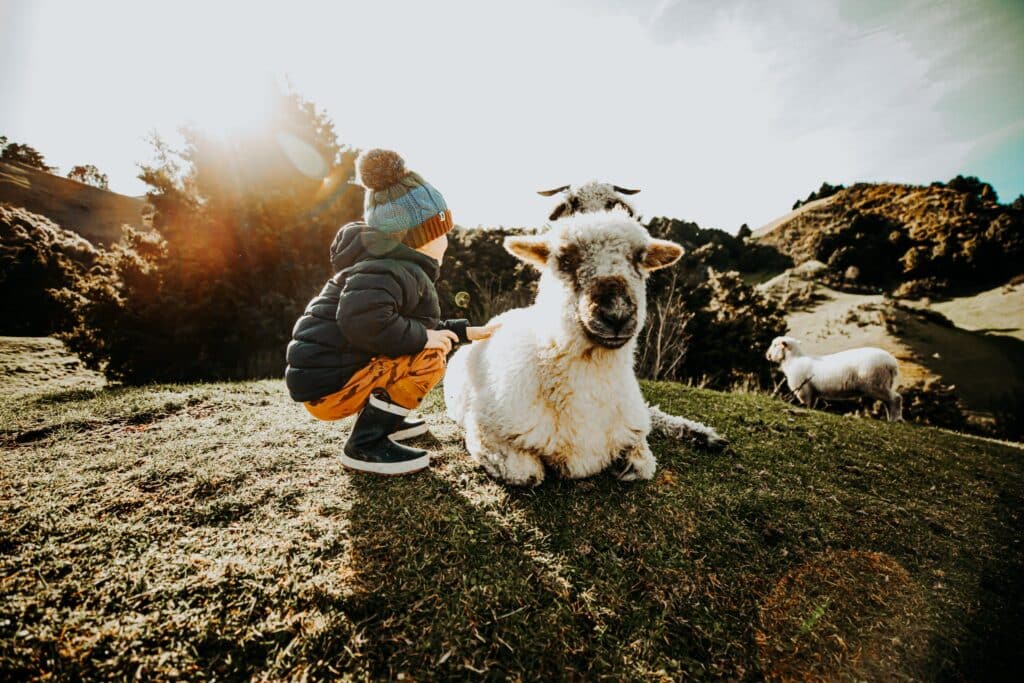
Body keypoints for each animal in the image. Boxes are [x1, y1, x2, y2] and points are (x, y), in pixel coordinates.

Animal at [442, 208, 729, 485]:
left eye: (639, 258)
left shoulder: (631, 430)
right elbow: (528, 474)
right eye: (566, 260)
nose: (616, 314)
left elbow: (643, 463)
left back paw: (705, 435)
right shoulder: (484, 430)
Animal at [765, 335, 901, 421]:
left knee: (895, 398)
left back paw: (894, 419)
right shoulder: (813, 392)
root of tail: (892, 363)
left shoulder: (804, 389)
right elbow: (812, 404)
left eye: (775, 345)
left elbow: (807, 403)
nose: (768, 355)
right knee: (889, 401)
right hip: (883, 383)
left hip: (875, 383)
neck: (793, 360)